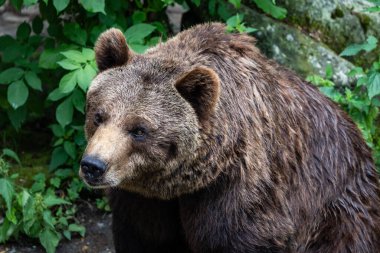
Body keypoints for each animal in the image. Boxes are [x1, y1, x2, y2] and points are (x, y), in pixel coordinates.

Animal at [79, 22, 380, 252]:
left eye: (139, 129)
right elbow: (143, 236)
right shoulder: (142, 199)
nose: (93, 165)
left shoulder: (238, 191)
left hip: (340, 210)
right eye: (99, 115)